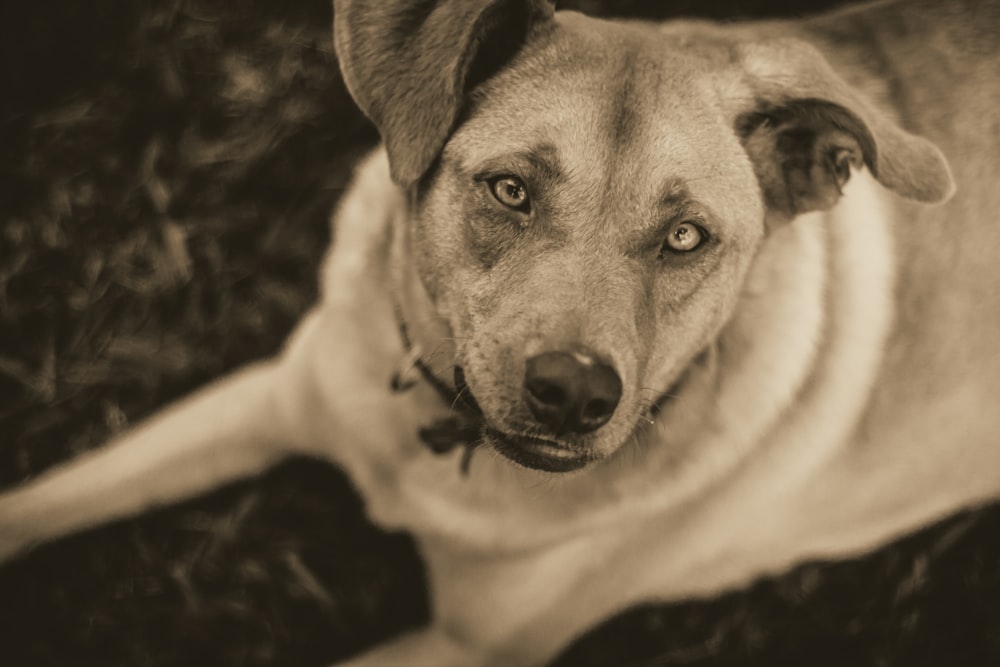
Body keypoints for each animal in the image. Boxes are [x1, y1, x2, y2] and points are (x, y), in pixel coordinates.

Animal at [1, 0, 1000, 664]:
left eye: (686, 238)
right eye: (511, 189)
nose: (574, 393)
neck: (430, 440)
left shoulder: (468, 648)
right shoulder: (271, 398)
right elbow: (47, 499)